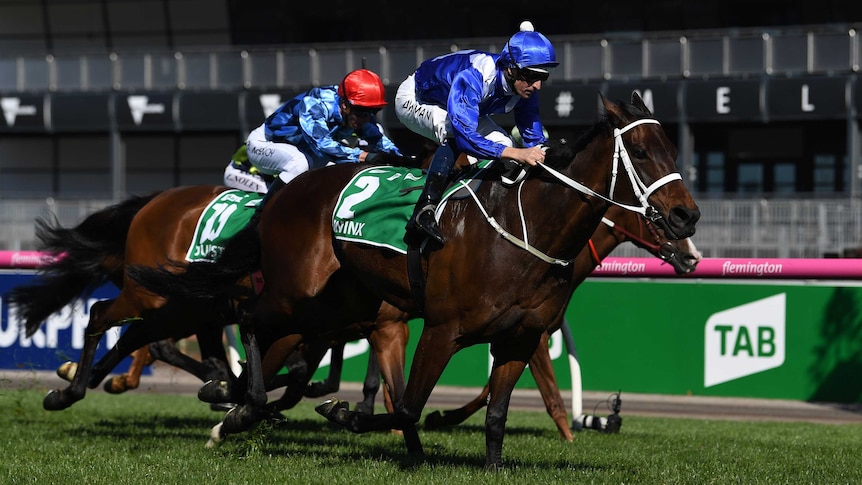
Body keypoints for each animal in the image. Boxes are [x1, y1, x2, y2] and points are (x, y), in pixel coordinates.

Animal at [130, 91, 704, 468]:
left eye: (674, 151)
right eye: (643, 153)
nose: (687, 220)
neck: (525, 227)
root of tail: (282, 194)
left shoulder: (518, 337)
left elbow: (495, 414)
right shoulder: (441, 328)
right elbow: (406, 404)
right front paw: (348, 416)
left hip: (336, 305)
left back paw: (234, 405)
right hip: (295, 293)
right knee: (248, 319)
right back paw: (235, 403)